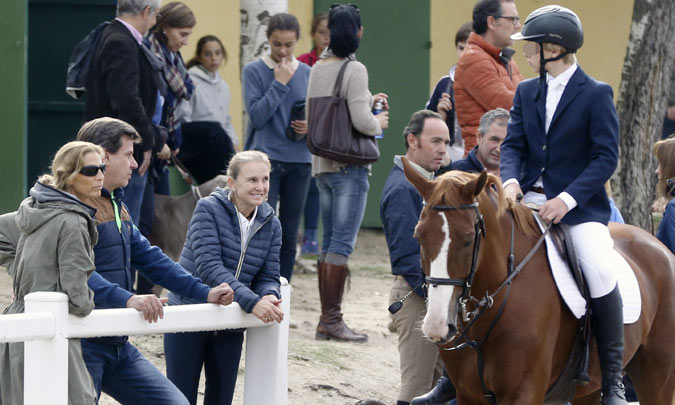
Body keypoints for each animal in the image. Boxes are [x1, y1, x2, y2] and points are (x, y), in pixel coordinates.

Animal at [402, 159, 675, 402]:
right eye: (418, 236)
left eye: (468, 239)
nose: (436, 326)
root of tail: (661, 247)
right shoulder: (468, 395)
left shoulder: (524, 392)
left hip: (657, 378)